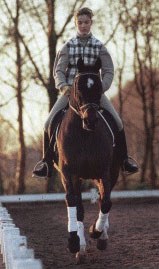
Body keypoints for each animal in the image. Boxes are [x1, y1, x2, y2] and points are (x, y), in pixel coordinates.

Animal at [54, 57, 120, 260]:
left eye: (98, 87)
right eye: (77, 86)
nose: (90, 121)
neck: (84, 135)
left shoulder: (105, 172)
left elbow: (106, 202)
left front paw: (96, 231)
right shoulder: (69, 174)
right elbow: (74, 204)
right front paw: (74, 243)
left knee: (103, 199)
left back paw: (102, 236)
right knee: (80, 208)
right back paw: (81, 247)